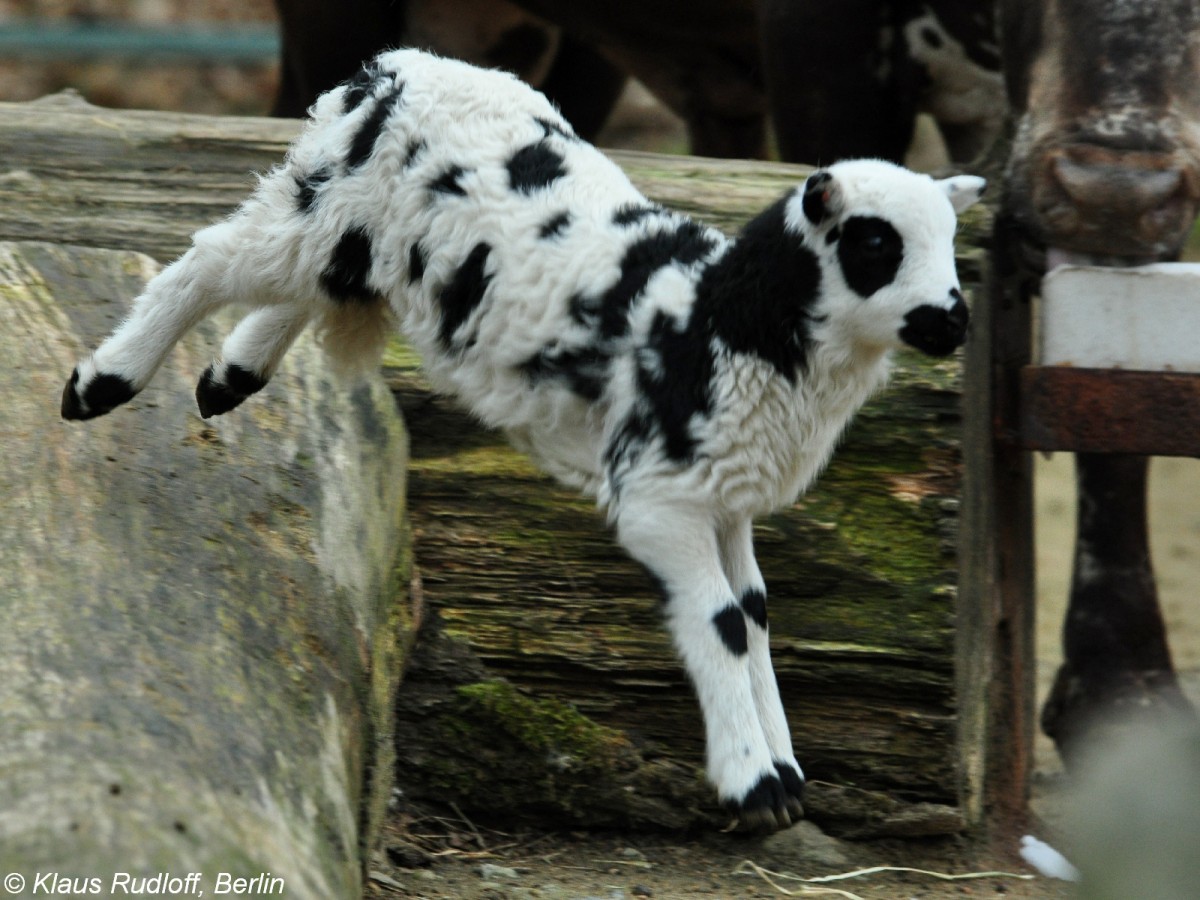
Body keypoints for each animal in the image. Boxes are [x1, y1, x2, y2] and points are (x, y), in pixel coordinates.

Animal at [58, 49, 984, 835]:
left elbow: (753, 616)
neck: (726, 323)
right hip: (326, 208)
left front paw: (785, 775)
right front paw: (753, 786)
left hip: (350, 241)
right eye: (875, 243)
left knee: (298, 288)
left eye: (950, 242)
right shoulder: (660, 499)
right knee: (211, 258)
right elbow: (720, 622)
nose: (954, 319)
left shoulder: (725, 499)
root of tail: (396, 68)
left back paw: (228, 376)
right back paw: (101, 383)